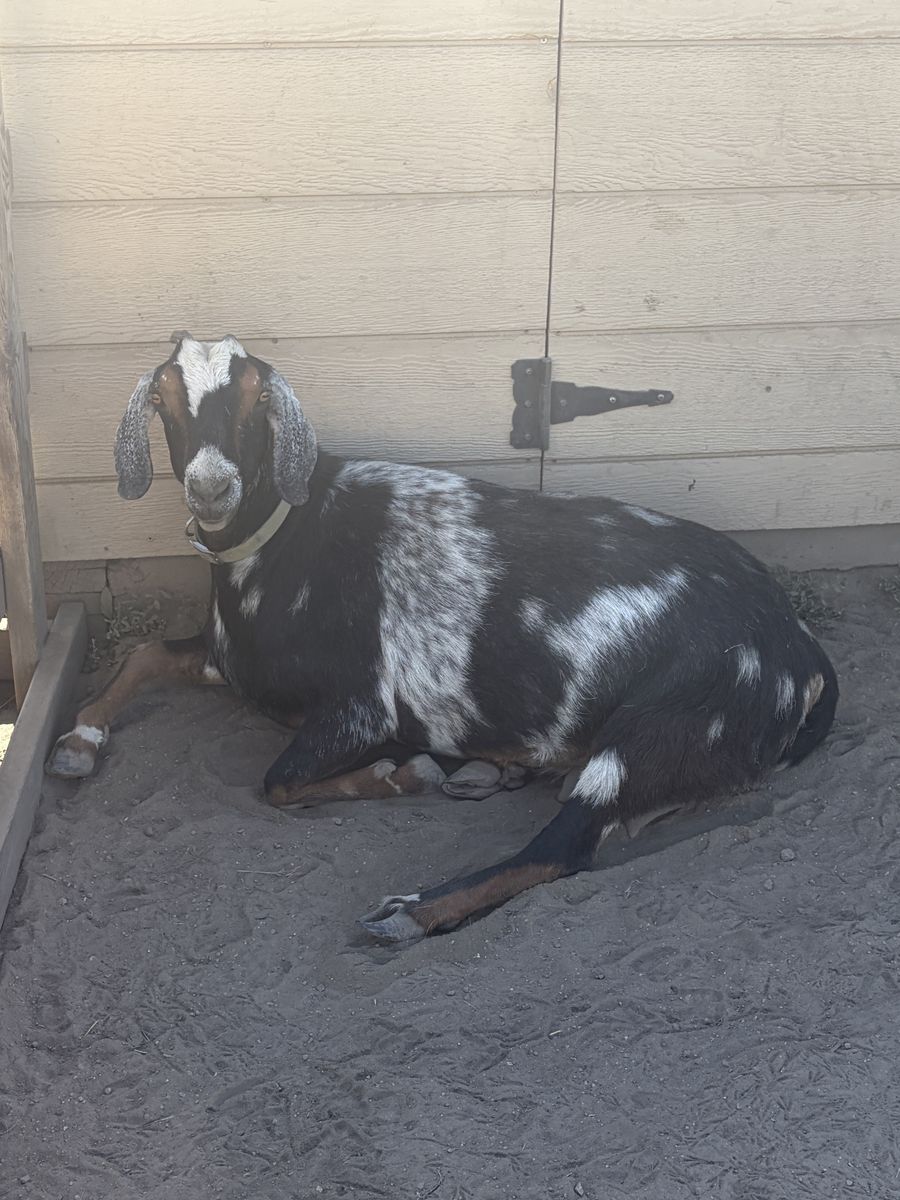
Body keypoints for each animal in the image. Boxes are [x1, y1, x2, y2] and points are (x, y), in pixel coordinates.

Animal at [47, 335, 838, 942]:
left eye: (256, 400)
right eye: (164, 400)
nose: (211, 489)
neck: (284, 539)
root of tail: (798, 652)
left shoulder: (362, 707)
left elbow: (277, 782)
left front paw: (402, 775)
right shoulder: (231, 662)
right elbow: (144, 653)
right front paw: (77, 742)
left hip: (663, 725)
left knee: (564, 845)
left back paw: (412, 907)